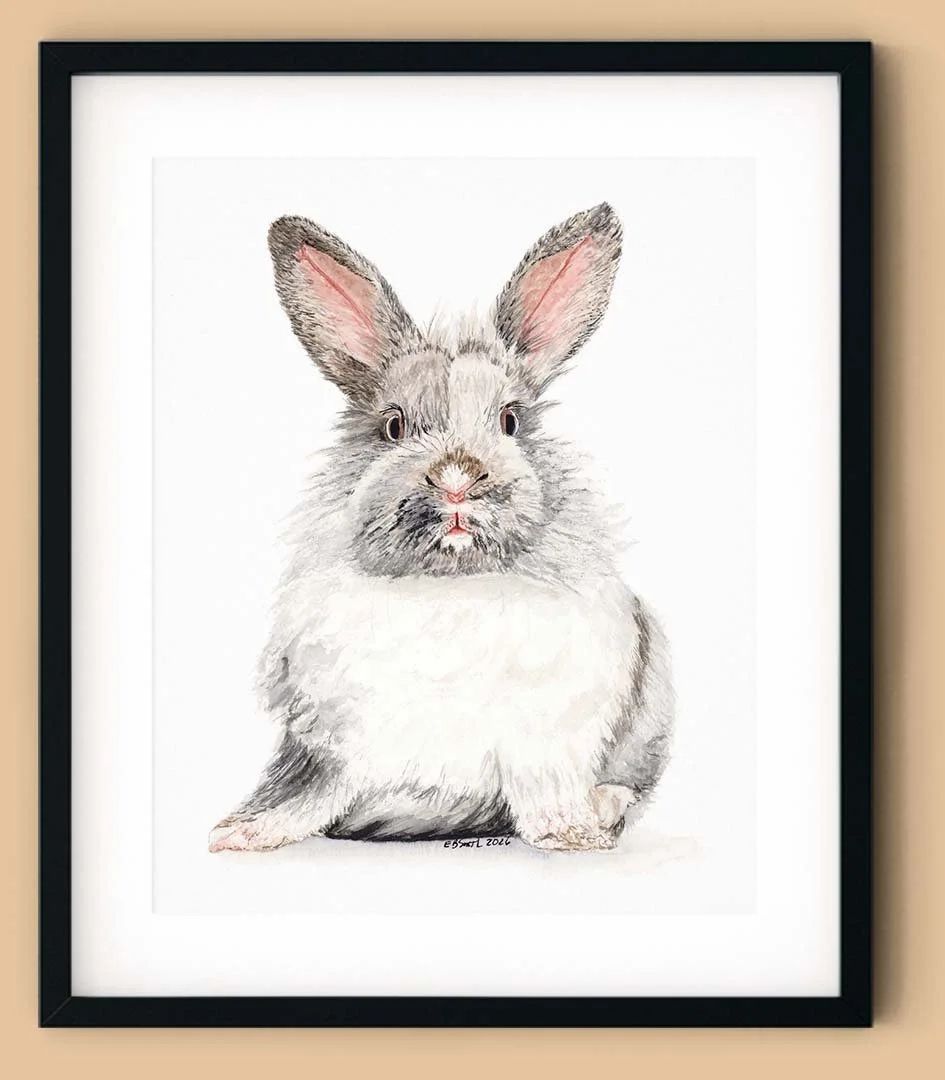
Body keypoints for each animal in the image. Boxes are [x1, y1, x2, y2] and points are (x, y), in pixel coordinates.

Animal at [209, 202, 674, 854]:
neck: (449, 583)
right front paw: (245, 833)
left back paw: (605, 807)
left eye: (510, 421)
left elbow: (545, 790)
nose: (457, 477)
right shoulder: (328, 742)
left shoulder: (546, 741)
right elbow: (306, 792)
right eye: (394, 426)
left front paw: (572, 835)